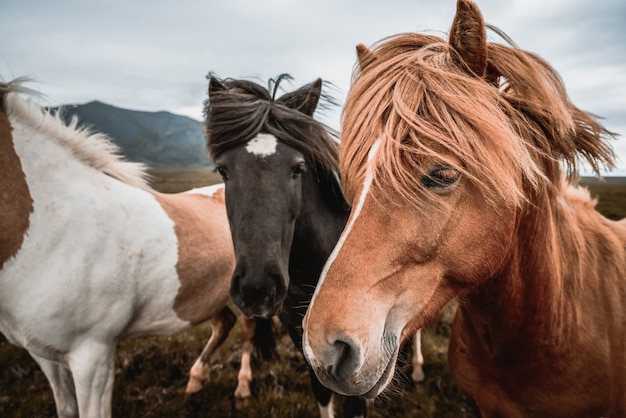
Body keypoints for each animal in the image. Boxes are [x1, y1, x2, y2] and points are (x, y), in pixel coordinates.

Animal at [0, 79, 272, 418]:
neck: (54, 227)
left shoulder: (92, 355)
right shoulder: (44, 355)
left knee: (247, 329)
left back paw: (242, 389)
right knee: (224, 323)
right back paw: (196, 381)